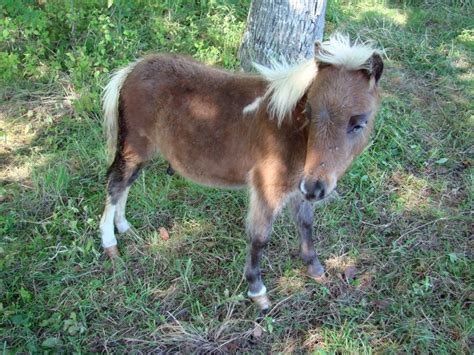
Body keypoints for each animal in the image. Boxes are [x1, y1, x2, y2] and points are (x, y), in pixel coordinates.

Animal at [99, 34, 382, 312]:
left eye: (360, 123)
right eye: (309, 112)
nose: (316, 188)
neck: (288, 129)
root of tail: (132, 69)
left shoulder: (298, 189)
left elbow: (305, 224)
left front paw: (315, 269)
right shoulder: (267, 189)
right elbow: (259, 238)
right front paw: (258, 292)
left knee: (126, 183)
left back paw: (124, 227)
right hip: (135, 146)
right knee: (116, 183)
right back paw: (110, 243)